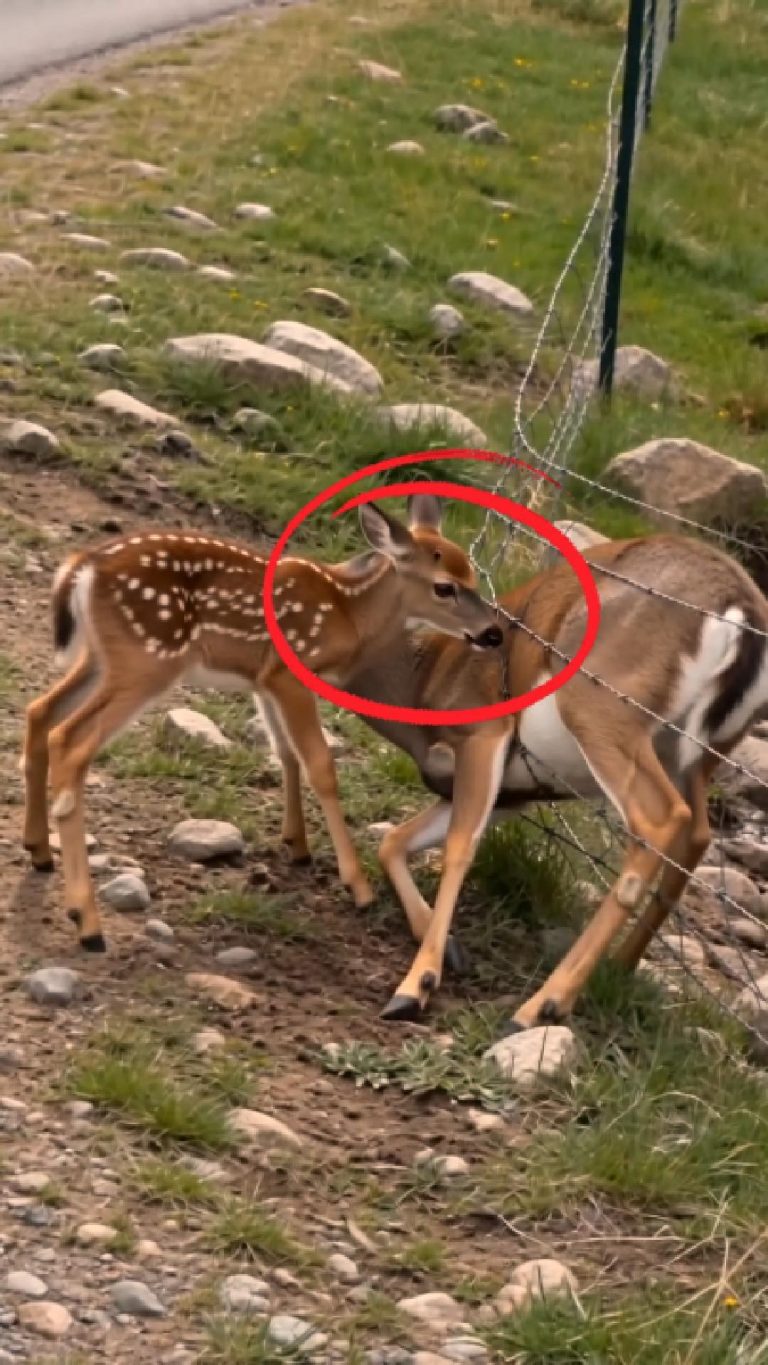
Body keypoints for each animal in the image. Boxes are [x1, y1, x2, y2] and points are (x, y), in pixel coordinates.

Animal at [20, 493, 505, 953]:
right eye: (444, 587)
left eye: (474, 578)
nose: (493, 633)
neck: (351, 614)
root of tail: (83, 569)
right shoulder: (290, 672)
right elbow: (320, 764)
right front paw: (357, 885)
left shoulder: (265, 678)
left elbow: (285, 753)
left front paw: (297, 845)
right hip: (147, 658)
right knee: (70, 740)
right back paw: (86, 922)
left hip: (101, 658)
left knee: (40, 711)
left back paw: (39, 851)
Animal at [339, 531, 768, 1029]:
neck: (422, 684)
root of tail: (743, 609)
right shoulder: (514, 794)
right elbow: (394, 841)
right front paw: (448, 948)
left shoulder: (484, 735)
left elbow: (459, 846)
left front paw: (417, 984)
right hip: (697, 756)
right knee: (696, 834)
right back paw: (618, 968)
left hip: (600, 708)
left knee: (660, 821)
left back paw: (542, 1004)